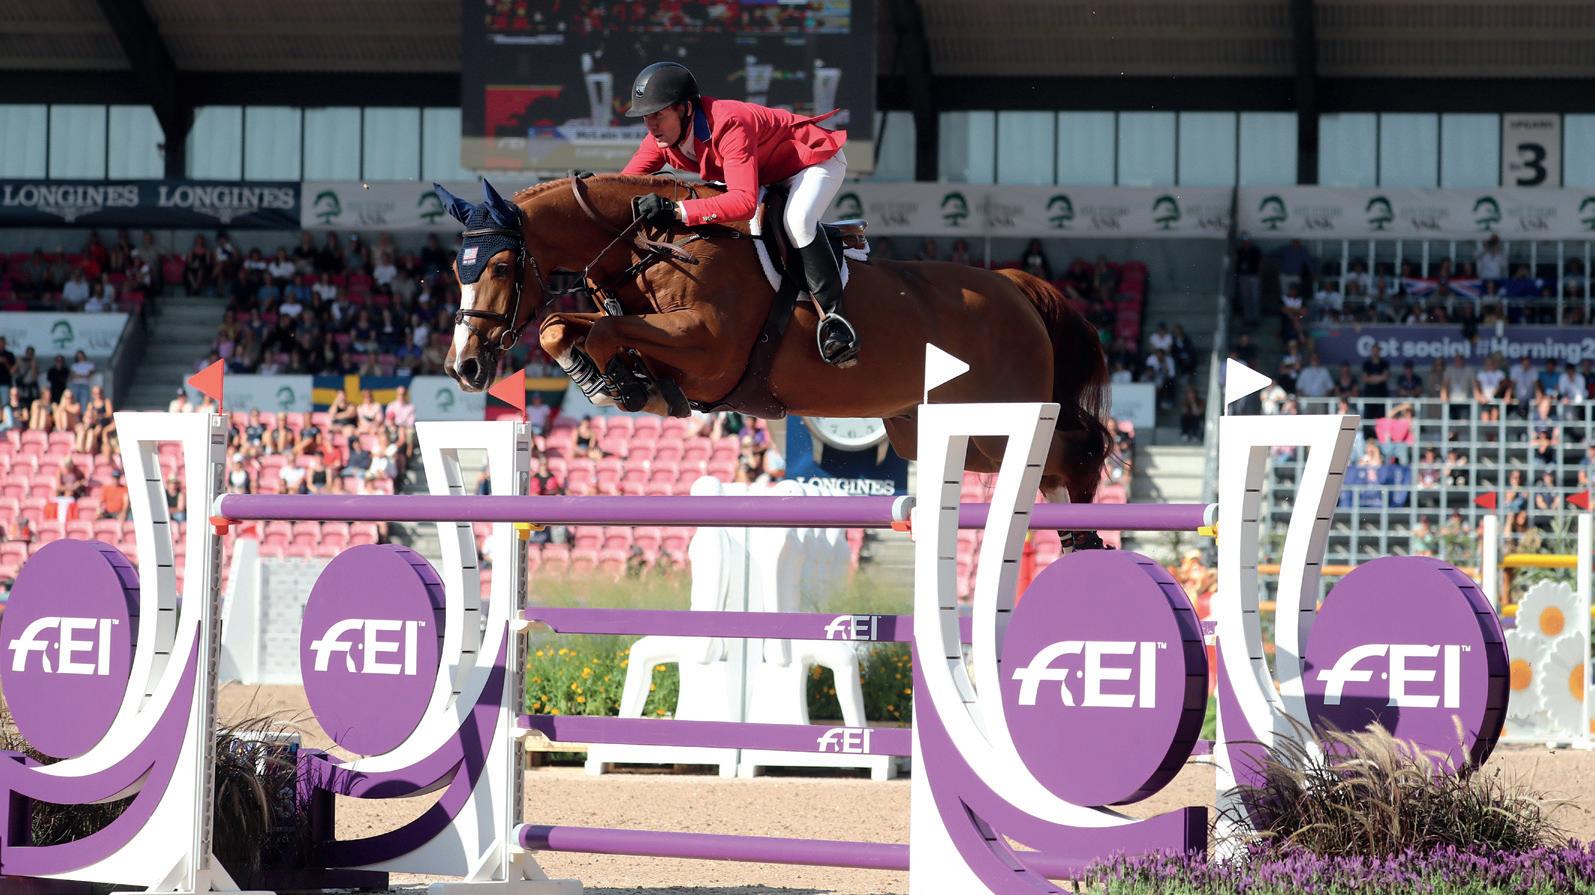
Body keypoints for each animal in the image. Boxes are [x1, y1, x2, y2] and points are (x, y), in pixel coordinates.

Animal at [433, 176, 1111, 510]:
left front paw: (620, 382)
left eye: (499, 267)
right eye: (454, 270)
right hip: (927, 432)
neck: (658, 242)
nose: (464, 367)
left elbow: (602, 330)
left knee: (1079, 445)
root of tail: (1016, 288)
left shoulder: (710, 348)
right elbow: (562, 327)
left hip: (999, 417)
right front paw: (614, 380)